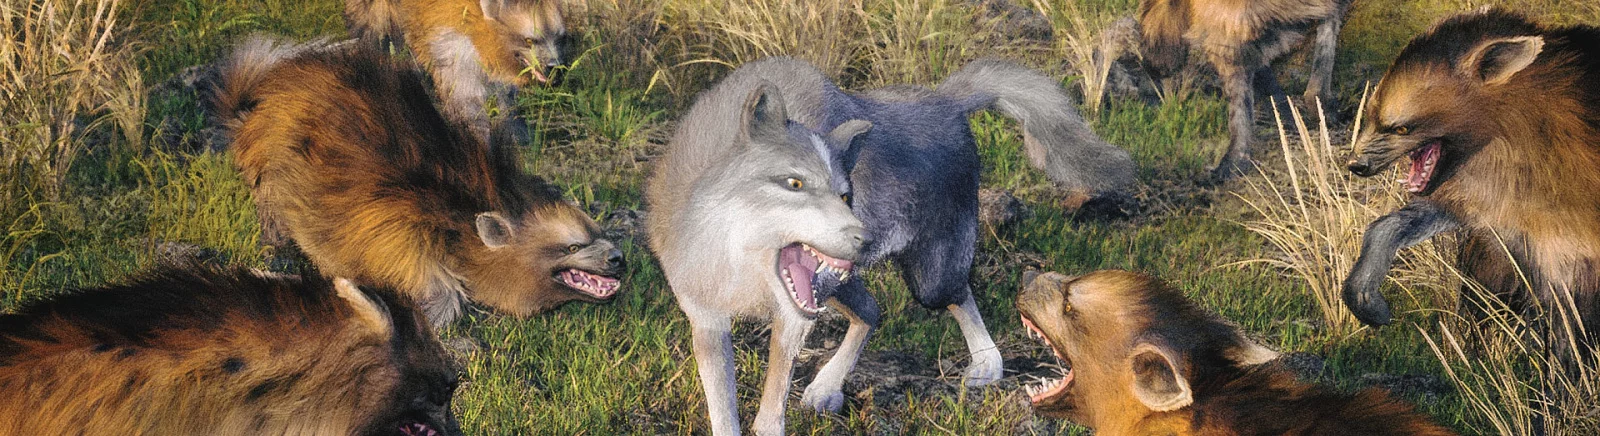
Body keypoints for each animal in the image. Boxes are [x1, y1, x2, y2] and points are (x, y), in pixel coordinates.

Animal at [212, 36, 622, 328]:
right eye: (572, 246)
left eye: (598, 232)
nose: (618, 257)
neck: (456, 219)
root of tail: (257, 104)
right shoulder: (396, 239)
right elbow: (436, 292)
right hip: (268, 171)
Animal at [343, 0, 570, 144]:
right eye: (529, 40)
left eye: (559, 38)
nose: (556, 68)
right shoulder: (456, 55)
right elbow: (468, 106)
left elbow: (507, 97)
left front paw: (517, 132)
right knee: (375, 32)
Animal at [647, 57, 1136, 435]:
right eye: (794, 183)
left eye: (845, 195)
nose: (864, 237)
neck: (737, 265)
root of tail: (944, 100)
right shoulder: (709, 323)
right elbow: (723, 412)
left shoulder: (792, 319)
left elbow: (770, 411)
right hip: (846, 287)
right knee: (873, 311)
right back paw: (827, 388)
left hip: (926, 281)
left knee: (955, 296)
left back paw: (987, 366)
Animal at [1341, 10, 1600, 365]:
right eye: (1368, 118)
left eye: (1401, 128)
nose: (1355, 165)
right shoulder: (1496, 203)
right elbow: (1391, 225)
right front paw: (1365, 292)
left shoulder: (1567, 234)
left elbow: (1566, 320)